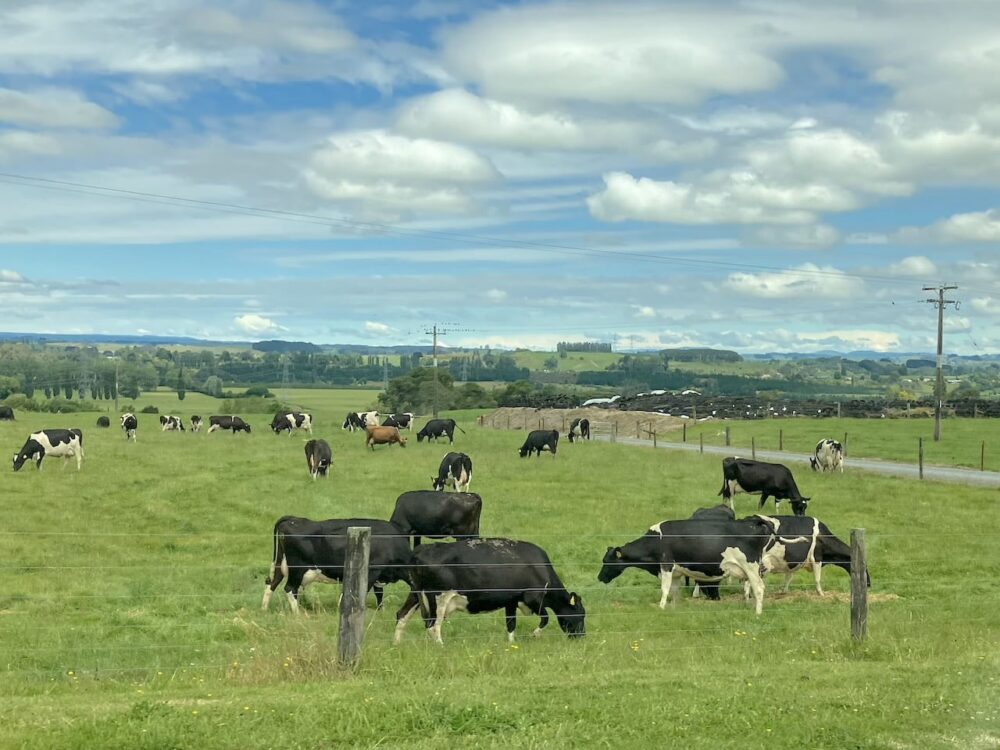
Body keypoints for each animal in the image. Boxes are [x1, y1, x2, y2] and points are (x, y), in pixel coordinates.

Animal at [264, 516, 412, 616]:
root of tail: (293, 519)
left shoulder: (379, 574)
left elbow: (379, 594)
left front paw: (381, 611)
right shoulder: (373, 571)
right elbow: (364, 593)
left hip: (280, 564)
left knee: (271, 585)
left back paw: (264, 609)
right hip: (297, 568)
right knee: (290, 588)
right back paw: (298, 614)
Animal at [392, 540, 584, 648]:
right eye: (581, 615)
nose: (582, 637)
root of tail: (421, 550)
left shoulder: (512, 600)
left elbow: (511, 623)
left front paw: (511, 643)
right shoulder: (533, 597)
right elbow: (546, 618)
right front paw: (534, 635)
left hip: (416, 594)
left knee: (402, 615)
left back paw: (397, 644)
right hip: (438, 597)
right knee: (432, 625)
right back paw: (441, 646)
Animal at [596, 516, 776, 616]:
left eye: (606, 561)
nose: (599, 577)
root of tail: (754, 522)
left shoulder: (666, 564)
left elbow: (664, 589)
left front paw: (661, 608)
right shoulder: (676, 572)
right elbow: (675, 591)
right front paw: (674, 609)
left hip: (751, 566)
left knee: (759, 588)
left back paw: (758, 613)